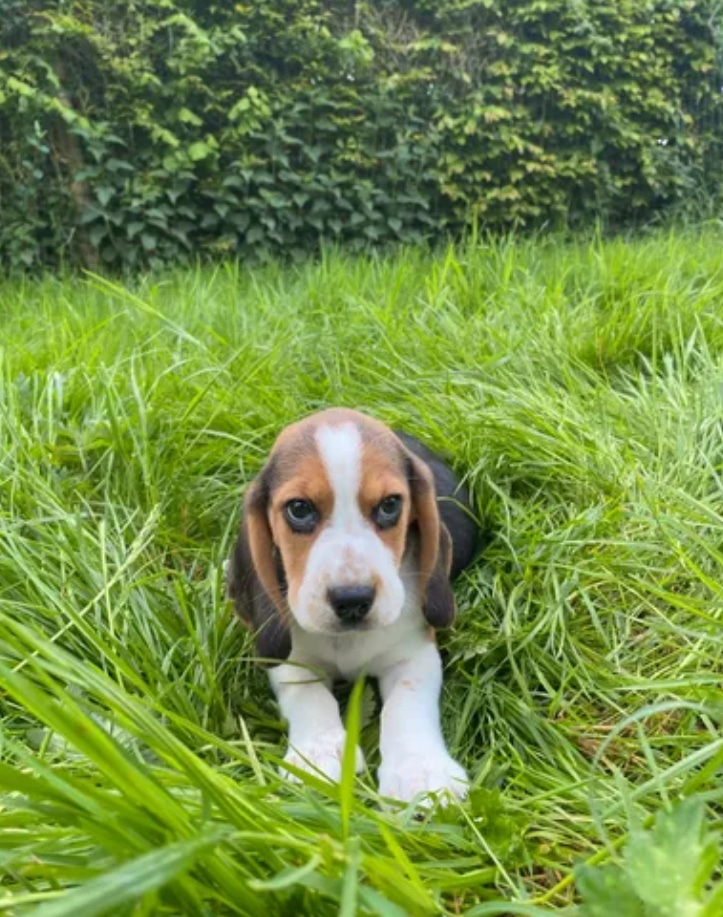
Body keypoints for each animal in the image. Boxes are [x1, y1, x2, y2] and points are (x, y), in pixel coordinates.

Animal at [229, 408, 478, 800]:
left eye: (390, 505)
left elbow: (406, 704)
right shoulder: (290, 659)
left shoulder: (415, 654)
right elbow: (309, 695)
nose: (352, 600)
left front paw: (421, 772)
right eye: (299, 509)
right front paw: (318, 753)